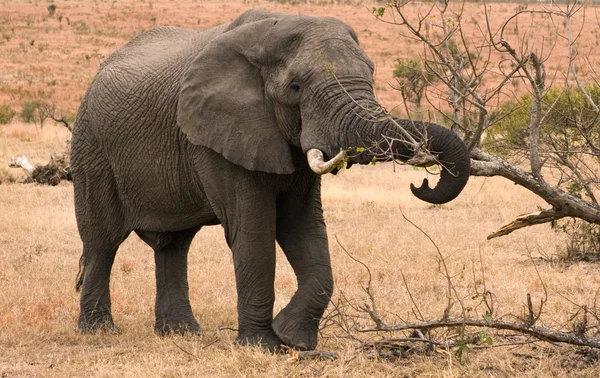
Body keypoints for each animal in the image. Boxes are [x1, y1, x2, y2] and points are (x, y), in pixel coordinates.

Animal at [70, 8, 472, 352]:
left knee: (174, 244)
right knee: (102, 241)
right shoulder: (217, 135)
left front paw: (294, 339)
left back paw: (181, 333)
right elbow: (254, 231)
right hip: (91, 146)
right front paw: (262, 346)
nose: (422, 184)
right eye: (295, 87)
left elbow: (302, 227)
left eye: (371, 74)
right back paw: (99, 331)